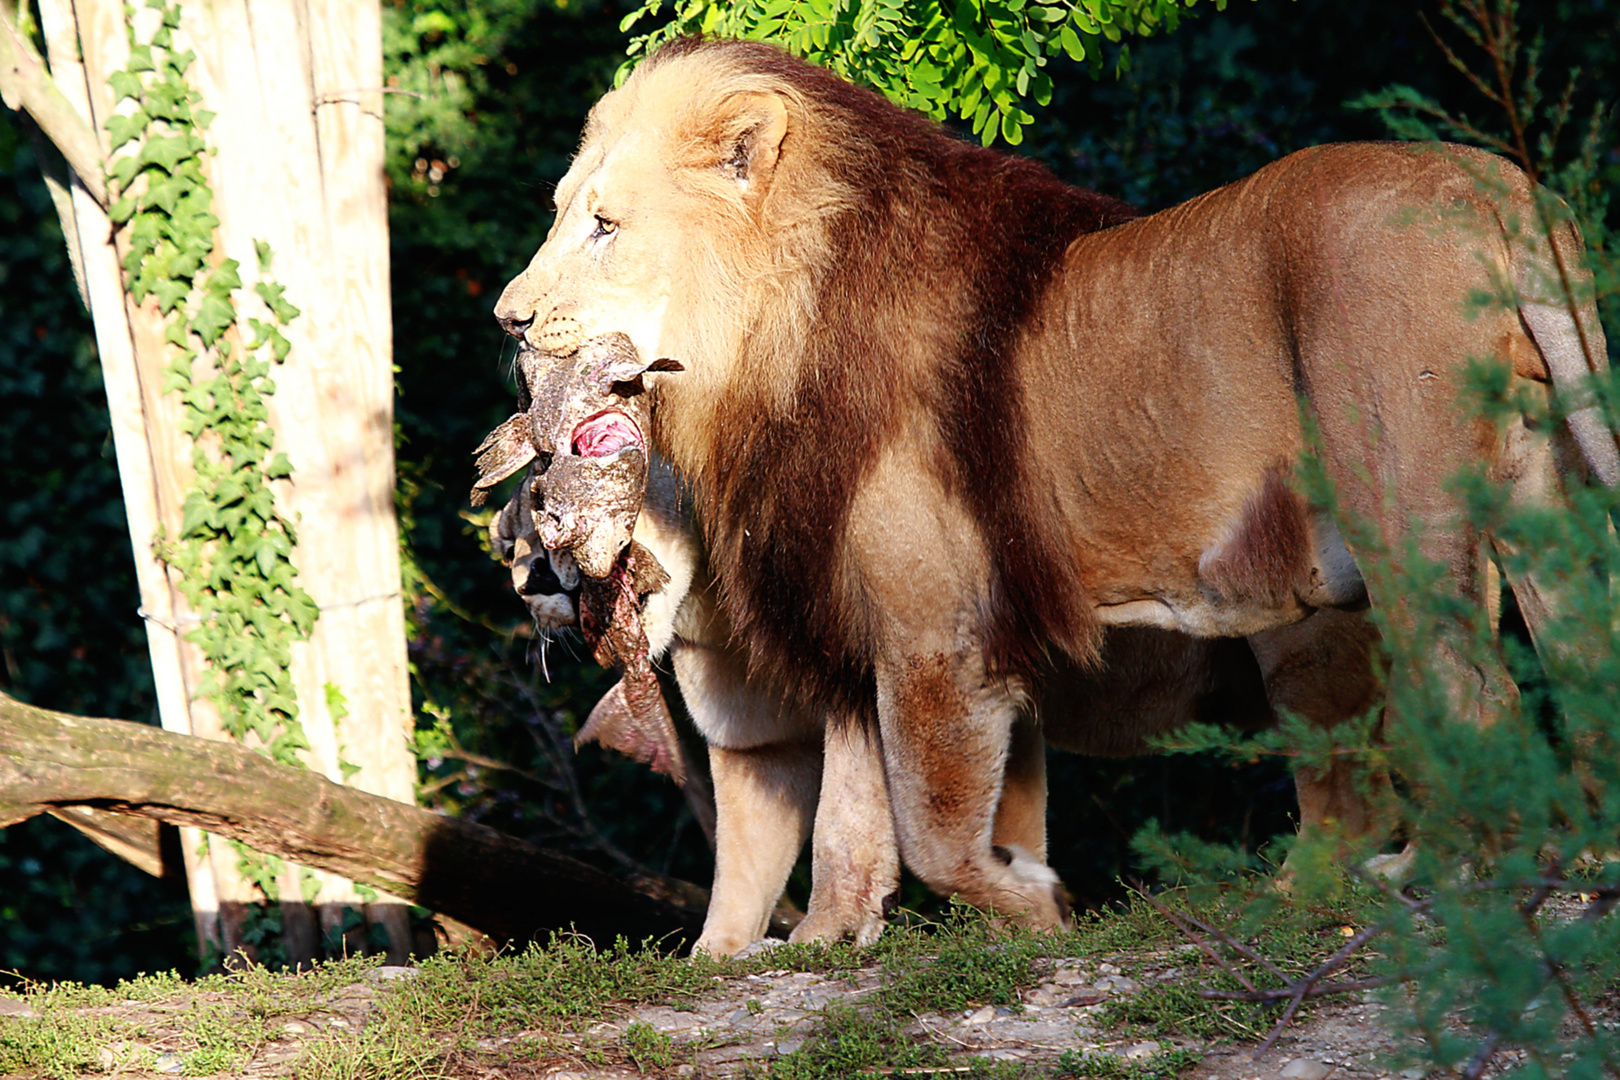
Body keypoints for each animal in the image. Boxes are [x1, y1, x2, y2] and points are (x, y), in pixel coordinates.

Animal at [489, 40, 1607, 939]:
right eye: (559, 214)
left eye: (604, 226)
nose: (508, 321)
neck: (768, 333)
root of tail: (1489, 185)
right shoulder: (901, 644)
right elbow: (883, 821)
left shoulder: (936, 632)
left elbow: (930, 830)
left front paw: (1034, 905)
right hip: (1536, 492)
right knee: (1567, 661)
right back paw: (1560, 867)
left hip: (1393, 524)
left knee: (1469, 703)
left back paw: (1455, 884)